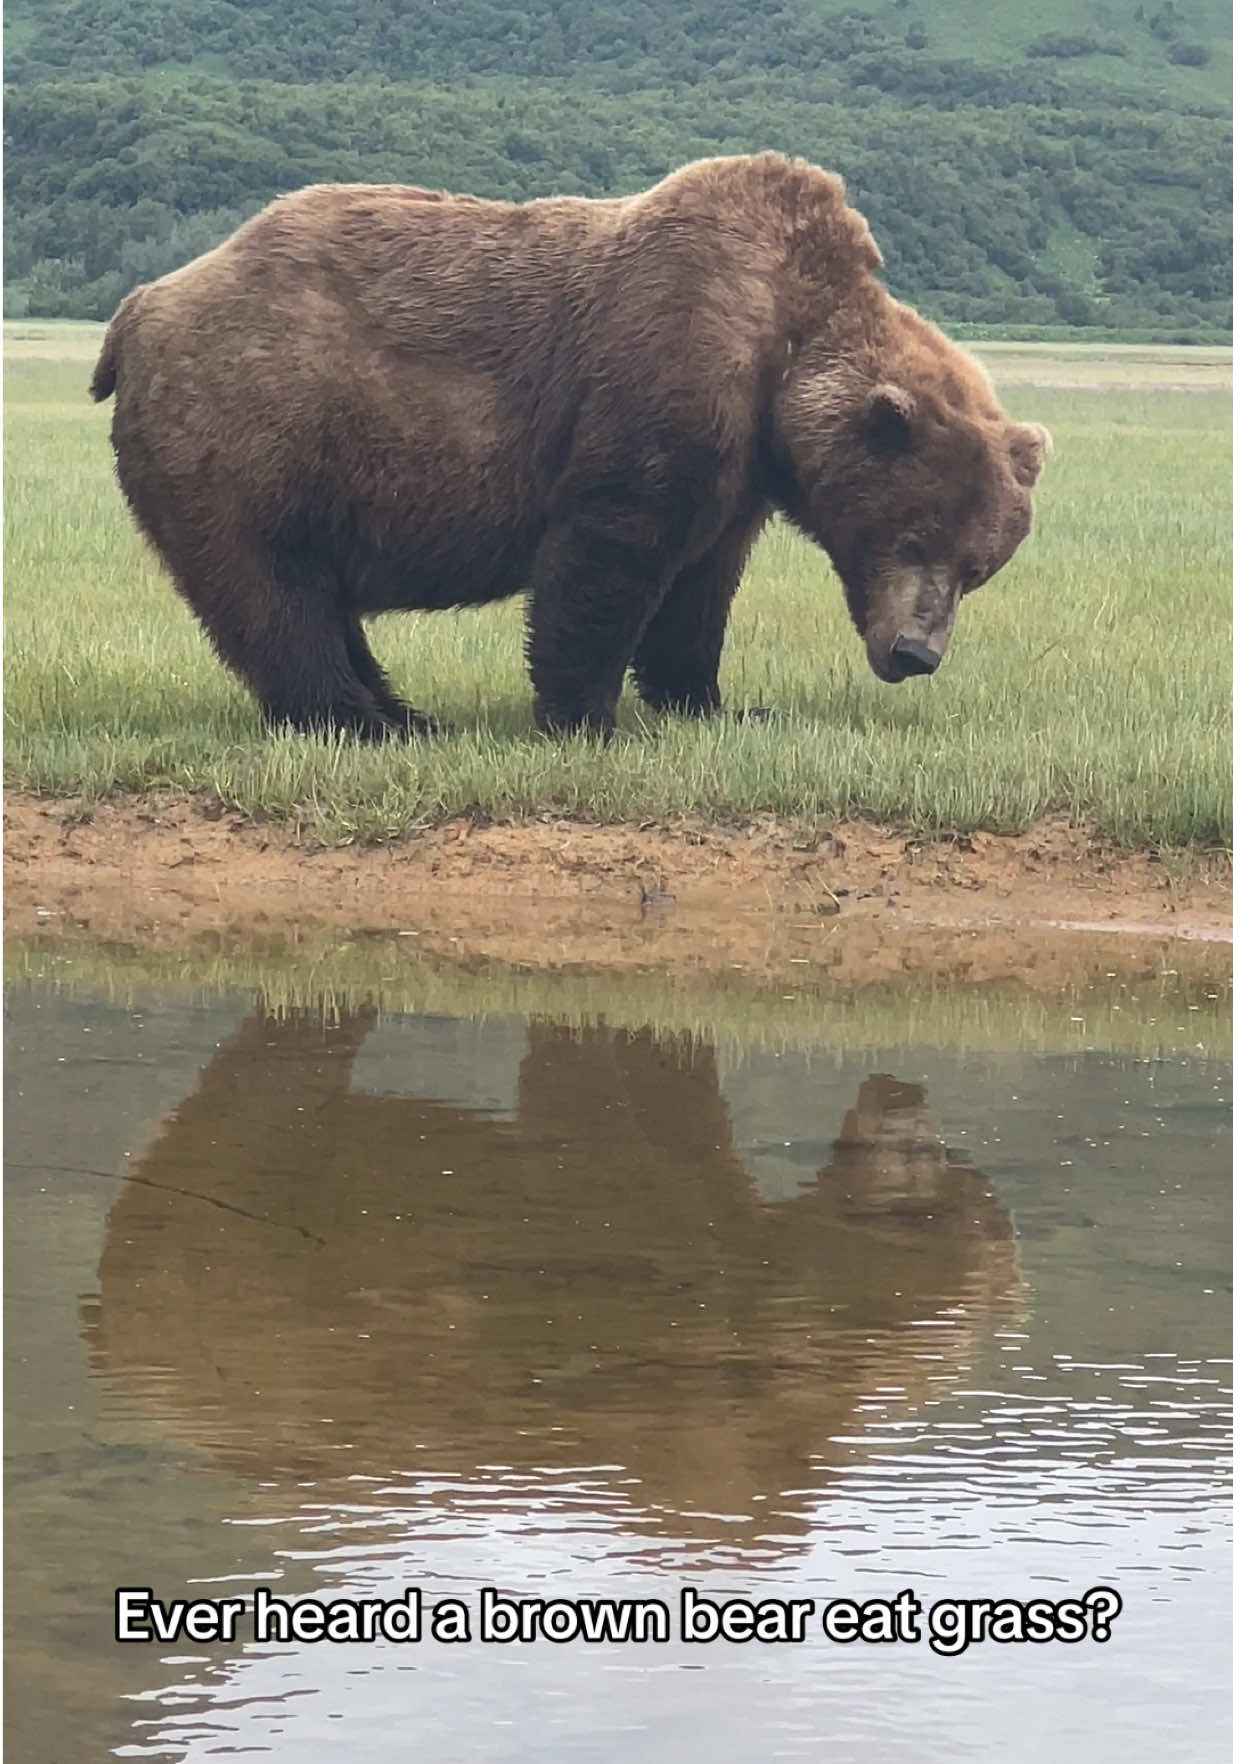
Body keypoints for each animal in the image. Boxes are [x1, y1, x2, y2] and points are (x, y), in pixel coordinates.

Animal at [90, 153, 1050, 739]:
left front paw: (714, 705)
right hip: (257, 425)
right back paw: (361, 719)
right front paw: (586, 715)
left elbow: (700, 586)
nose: (915, 654)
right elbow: (610, 551)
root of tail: (142, 307)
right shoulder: (669, 362)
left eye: (978, 567)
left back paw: (399, 710)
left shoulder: (740, 475)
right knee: (272, 587)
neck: (782, 347)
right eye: (915, 537)